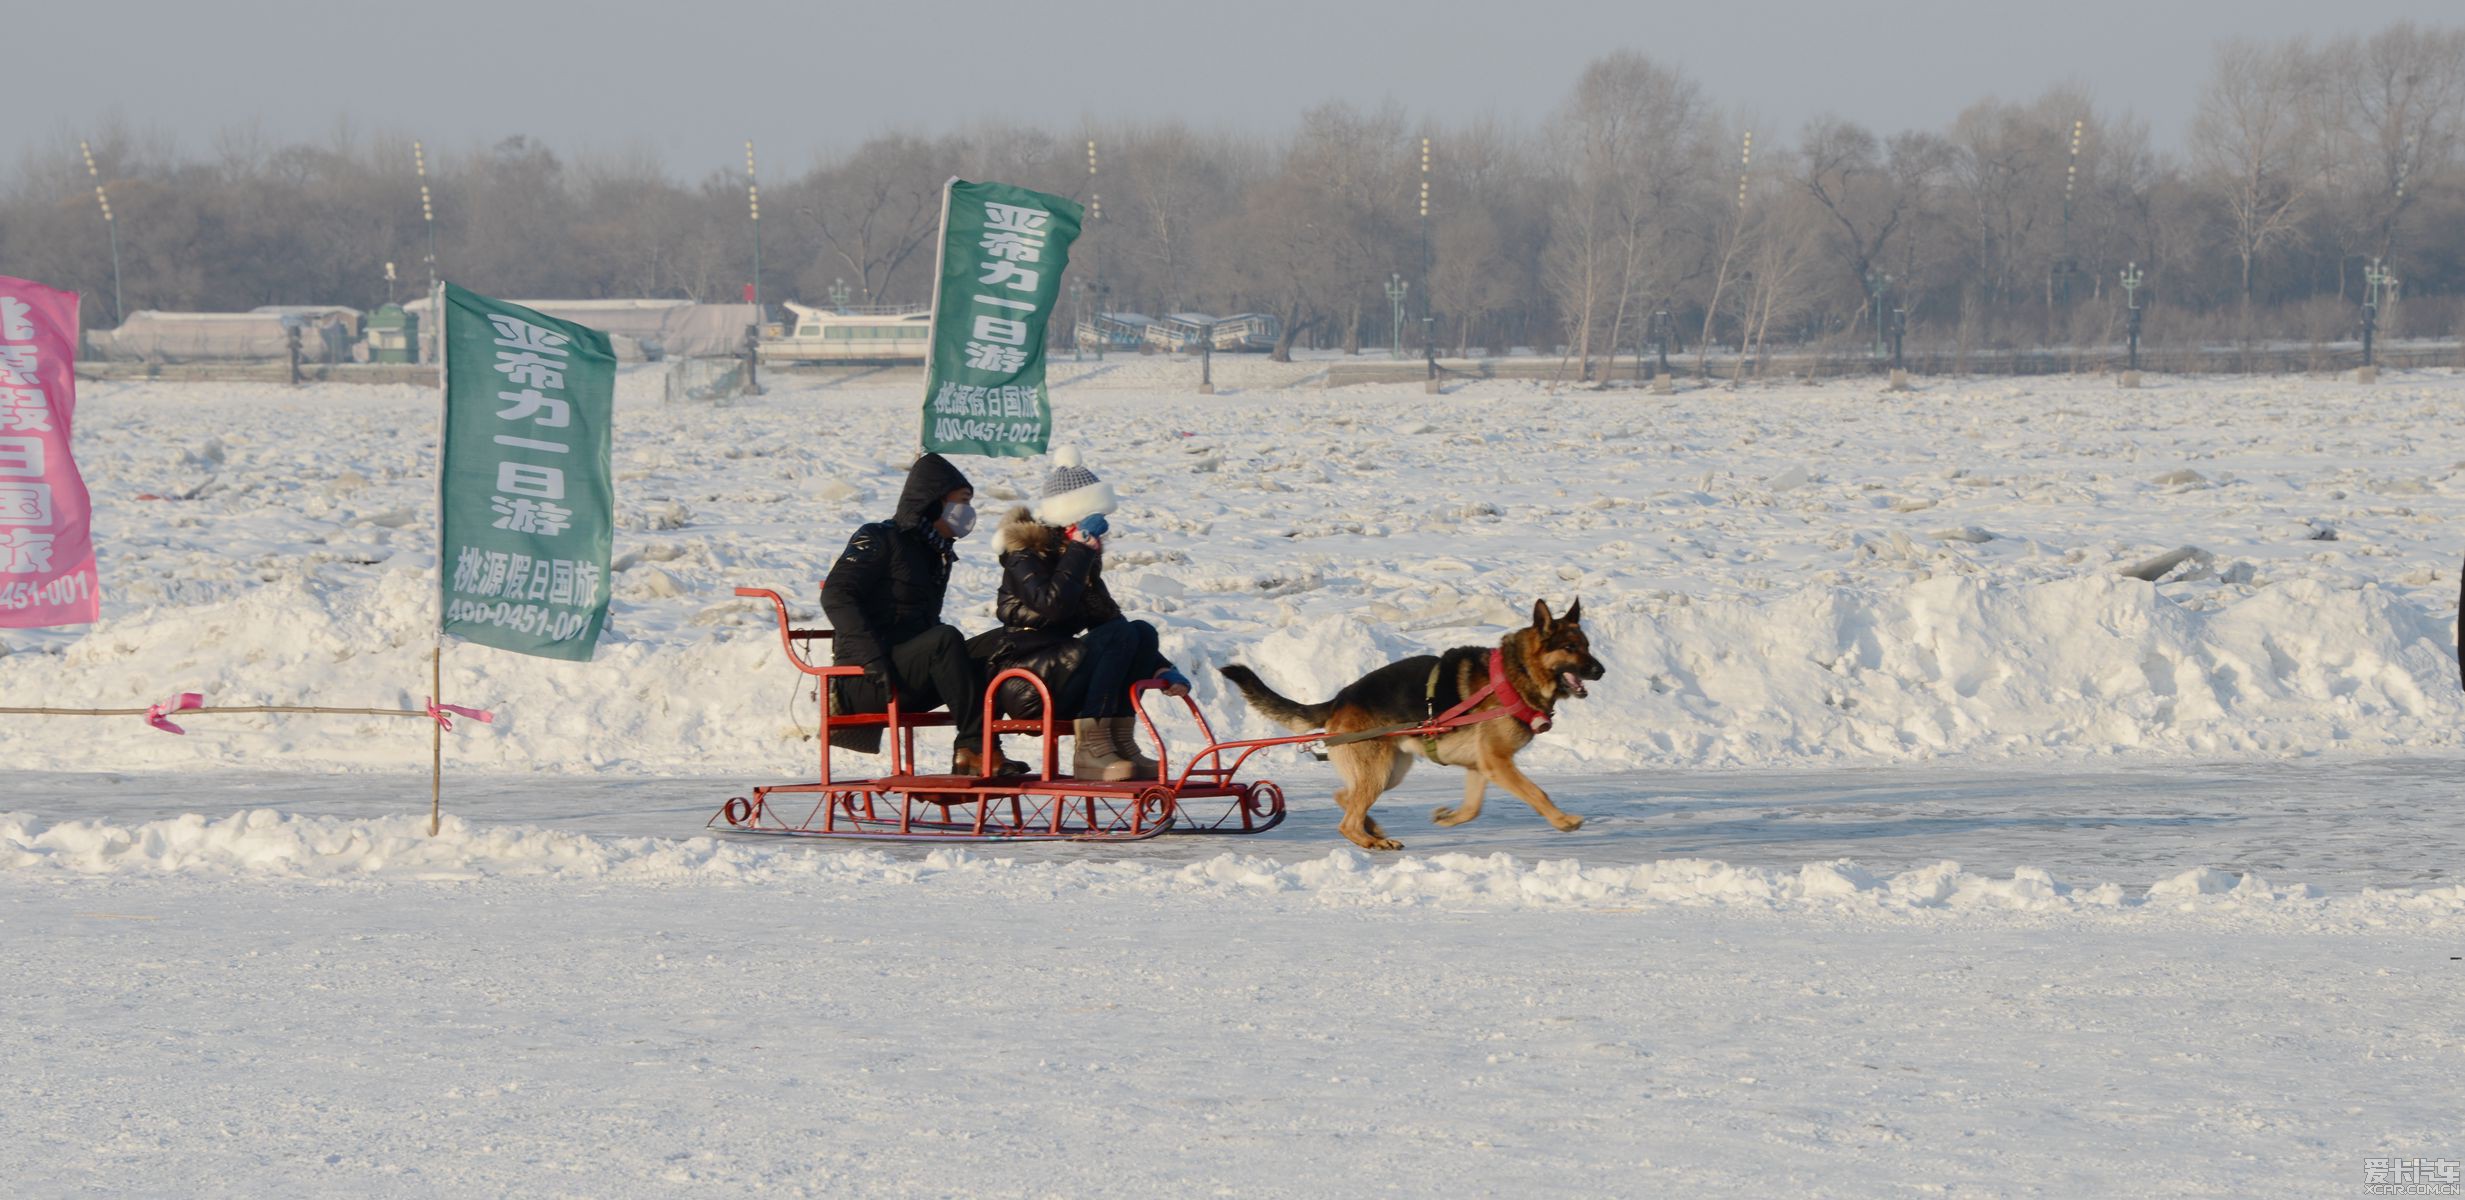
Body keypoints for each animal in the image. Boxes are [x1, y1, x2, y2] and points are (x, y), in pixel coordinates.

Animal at [1222, 598, 1607, 847]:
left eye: (1587, 645)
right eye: (1570, 647)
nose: (1601, 670)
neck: (1517, 674)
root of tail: (1340, 698)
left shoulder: (1482, 766)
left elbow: (1472, 809)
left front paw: (1448, 817)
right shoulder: (1498, 762)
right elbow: (1536, 792)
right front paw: (1563, 821)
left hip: (1390, 772)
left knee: (1343, 795)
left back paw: (1374, 829)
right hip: (1379, 772)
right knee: (1347, 821)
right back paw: (1371, 841)